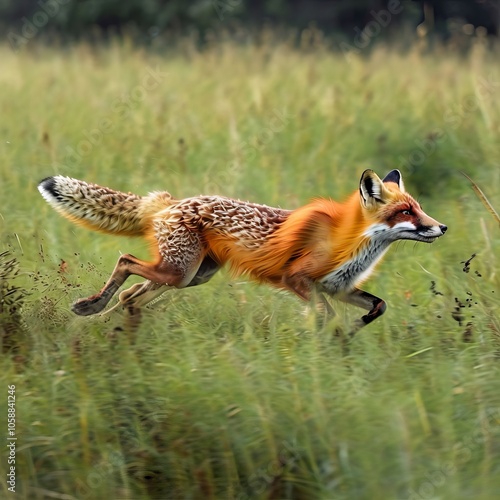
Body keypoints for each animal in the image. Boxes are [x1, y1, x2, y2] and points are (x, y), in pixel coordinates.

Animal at [37, 170, 448, 334]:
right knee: (125, 263)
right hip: (179, 273)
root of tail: (169, 203)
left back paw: (108, 321)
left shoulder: (338, 288)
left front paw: (352, 331)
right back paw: (91, 307)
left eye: (418, 208)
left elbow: (378, 306)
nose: (442, 227)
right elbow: (325, 316)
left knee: (130, 294)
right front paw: (334, 339)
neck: (348, 245)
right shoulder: (298, 280)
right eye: (405, 213)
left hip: (189, 277)